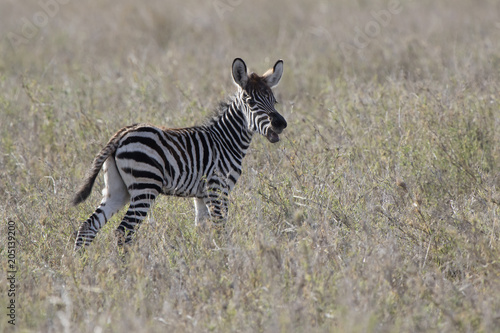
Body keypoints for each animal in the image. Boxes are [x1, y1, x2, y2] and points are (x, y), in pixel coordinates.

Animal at [72, 57, 288, 249]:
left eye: (274, 100)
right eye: (251, 102)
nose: (280, 124)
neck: (226, 140)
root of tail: (121, 134)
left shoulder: (201, 195)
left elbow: (203, 231)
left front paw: (207, 260)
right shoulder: (218, 188)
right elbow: (221, 230)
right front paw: (227, 259)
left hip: (117, 189)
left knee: (88, 226)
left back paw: (81, 264)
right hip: (145, 186)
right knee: (123, 232)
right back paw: (123, 268)